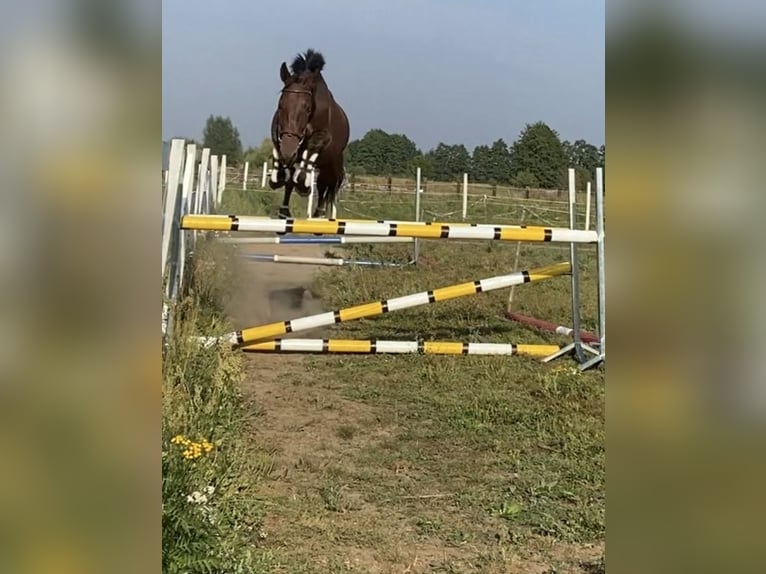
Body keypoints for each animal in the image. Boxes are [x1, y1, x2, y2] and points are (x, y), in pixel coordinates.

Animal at [270, 49, 352, 219]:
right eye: (280, 105)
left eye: (307, 108)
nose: (288, 151)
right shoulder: (279, 131)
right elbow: (278, 146)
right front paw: (277, 176)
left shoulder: (323, 137)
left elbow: (311, 149)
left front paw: (303, 185)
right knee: (295, 181)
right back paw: (284, 211)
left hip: (331, 166)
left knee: (325, 185)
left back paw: (318, 213)